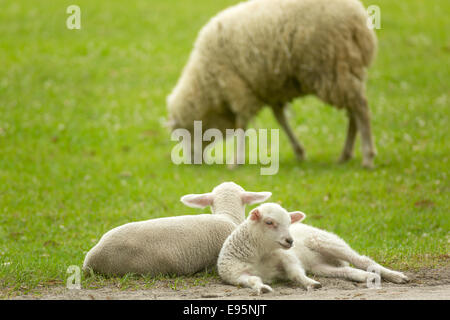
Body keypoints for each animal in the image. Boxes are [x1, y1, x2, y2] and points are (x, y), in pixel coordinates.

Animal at [167, 0, 378, 169]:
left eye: (183, 135)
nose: (192, 162)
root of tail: (358, 17)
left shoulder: (238, 87)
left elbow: (242, 123)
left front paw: (236, 161)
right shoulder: (271, 90)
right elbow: (281, 120)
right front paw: (299, 151)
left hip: (333, 66)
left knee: (361, 108)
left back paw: (367, 156)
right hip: (344, 70)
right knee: (353, 112)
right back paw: (345, 155)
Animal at [217, 204, 408, 294]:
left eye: (289, 223)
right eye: (269, 222)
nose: (290, 241)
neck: (260, 254)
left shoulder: (286, 256)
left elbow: (295, 272)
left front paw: (310, 284)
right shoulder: (236, 275)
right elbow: (252, 280)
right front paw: (262, 288)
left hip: (326, 241)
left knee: (362, 260)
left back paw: (397, 276)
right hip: (319, 266)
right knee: (346, 270)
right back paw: (368, 277)